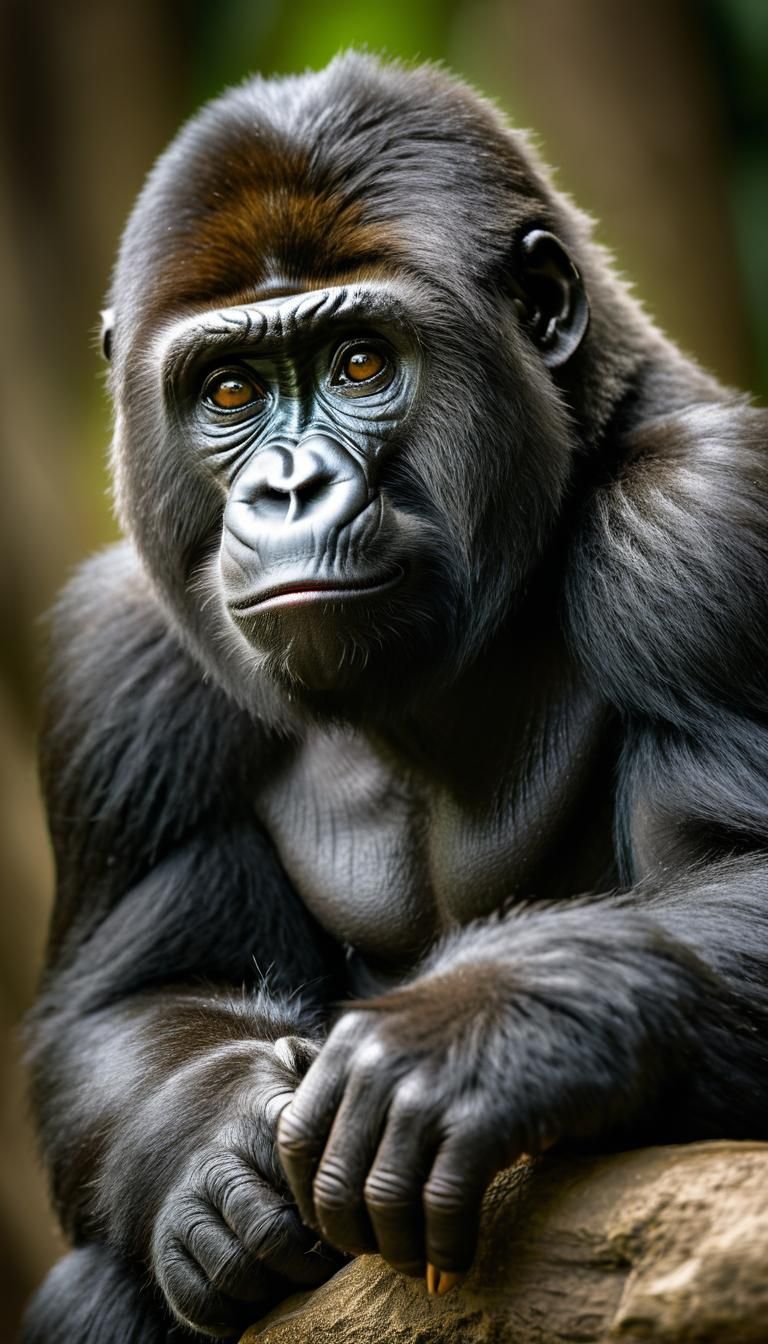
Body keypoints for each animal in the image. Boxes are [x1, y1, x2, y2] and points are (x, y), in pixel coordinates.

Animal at [22, 52, 768, 1344]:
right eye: (230, 392)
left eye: (362, 363)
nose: (286, 488)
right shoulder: (122, 667)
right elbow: (128, 1003)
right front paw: (208, 1150)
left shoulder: (711, 529)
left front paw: (484, 1035)